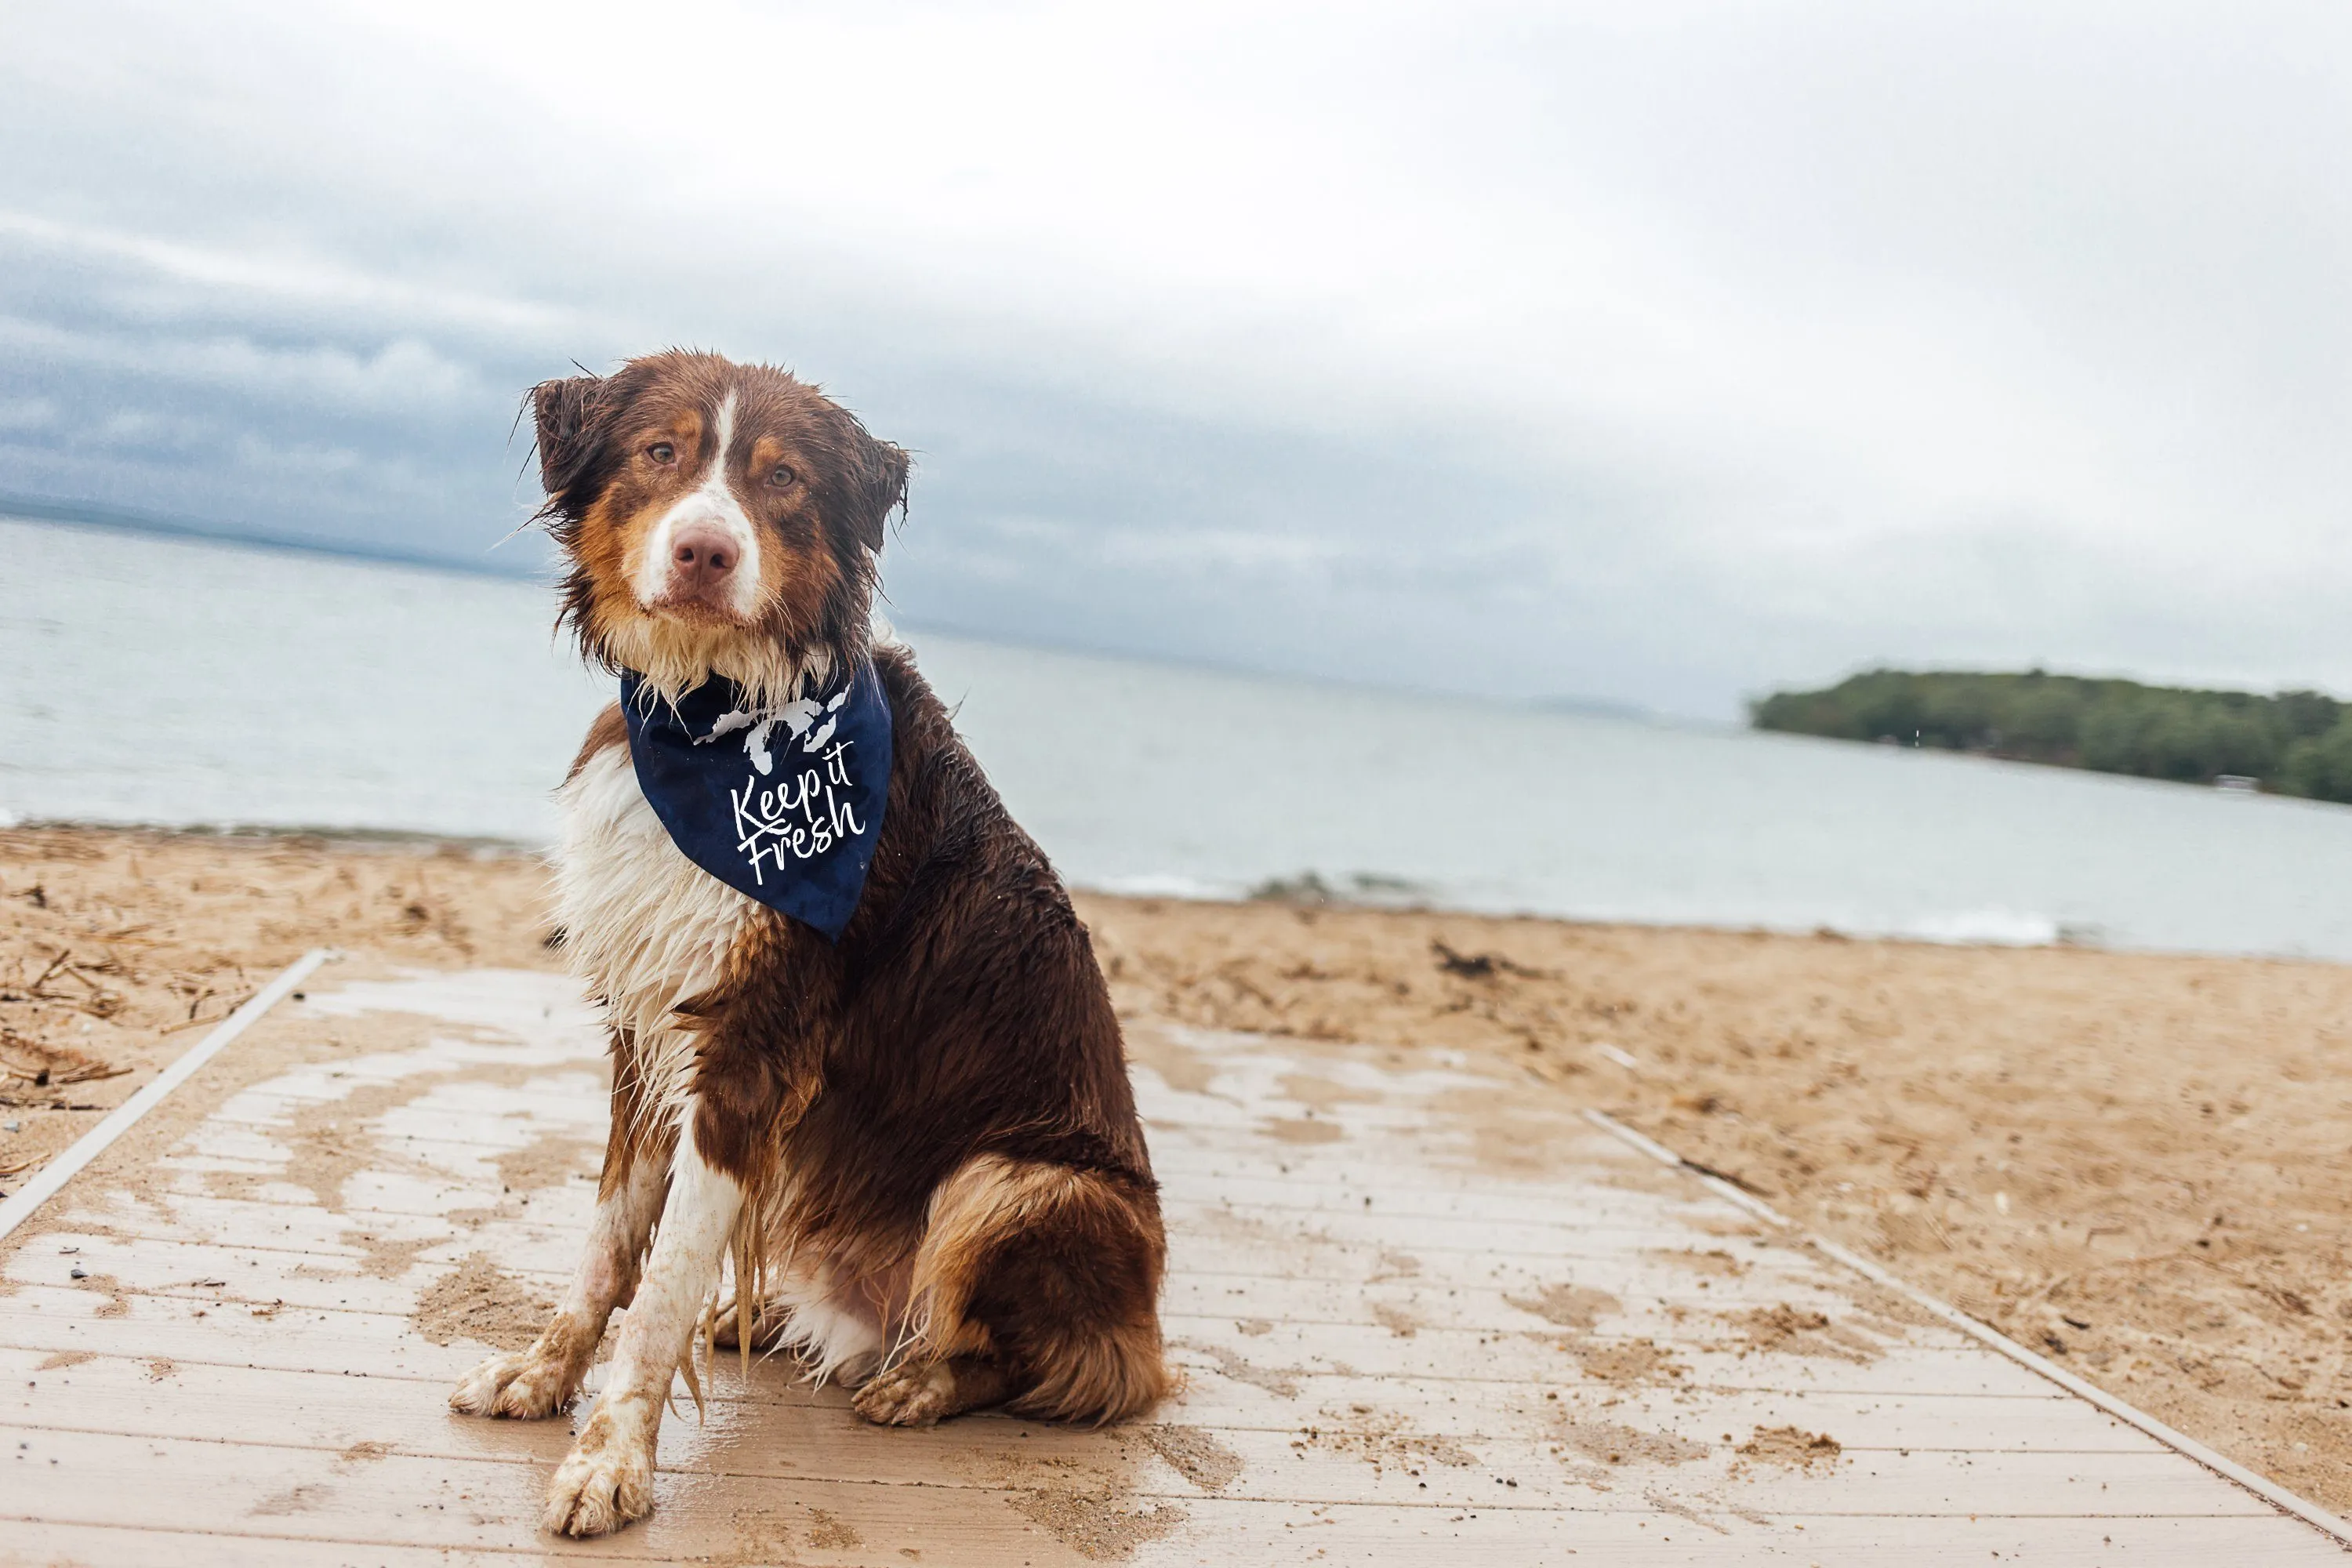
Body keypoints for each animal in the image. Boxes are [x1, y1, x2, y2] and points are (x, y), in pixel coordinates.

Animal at [447, 350, 1167, 1542]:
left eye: (780, 480)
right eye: (662, 453)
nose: (706, 550)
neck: (714, 716)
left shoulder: (749, 1049)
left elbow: (664, 1283)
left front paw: (612, 1459)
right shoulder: (644, 1027)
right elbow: (610, 1245)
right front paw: (544, 1373)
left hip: (1023, 1181)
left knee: (1046, 1362)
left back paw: (920, 1380)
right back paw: (784, 1320)